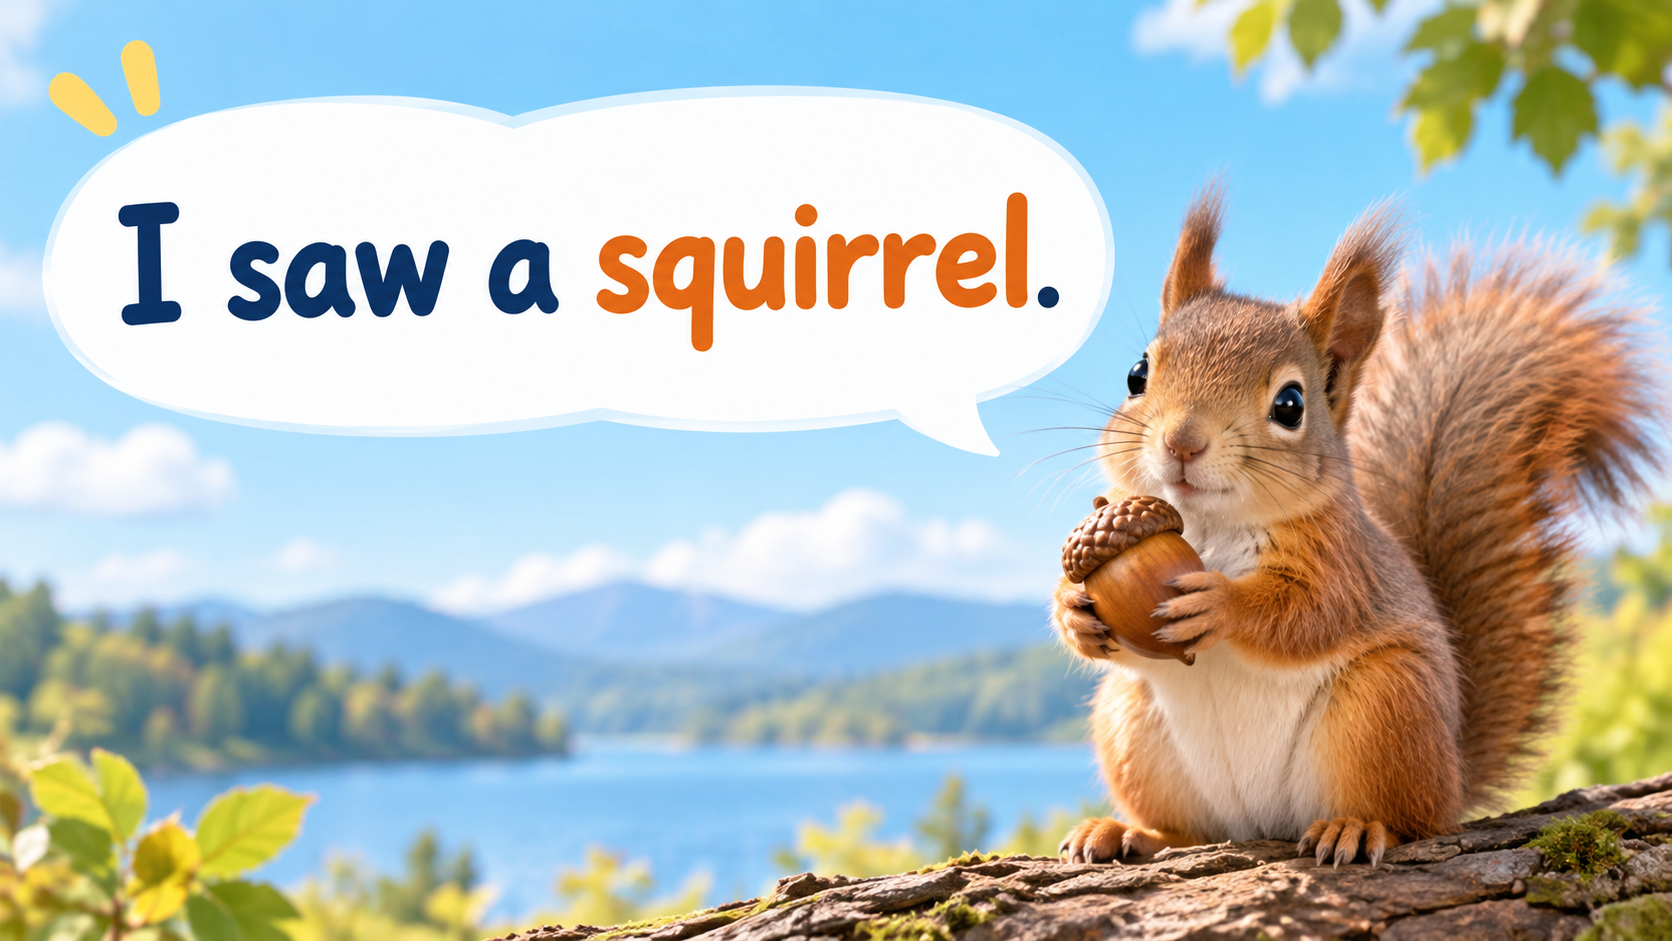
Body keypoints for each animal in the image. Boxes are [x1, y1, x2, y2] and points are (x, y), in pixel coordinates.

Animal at [1052, 186, 1665, 867]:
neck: (1207, 526)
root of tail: (1453, 775)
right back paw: (1126, 833)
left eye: (1290, 405)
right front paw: (1074, 609)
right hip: (1131, 725)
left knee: (1408, 817)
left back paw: (1356, 826)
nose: (1182, 442)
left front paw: (1221, 604)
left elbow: (1310, 614)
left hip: (1383, 708)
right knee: (1187, 830)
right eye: (1137, 375)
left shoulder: (1344, 560)